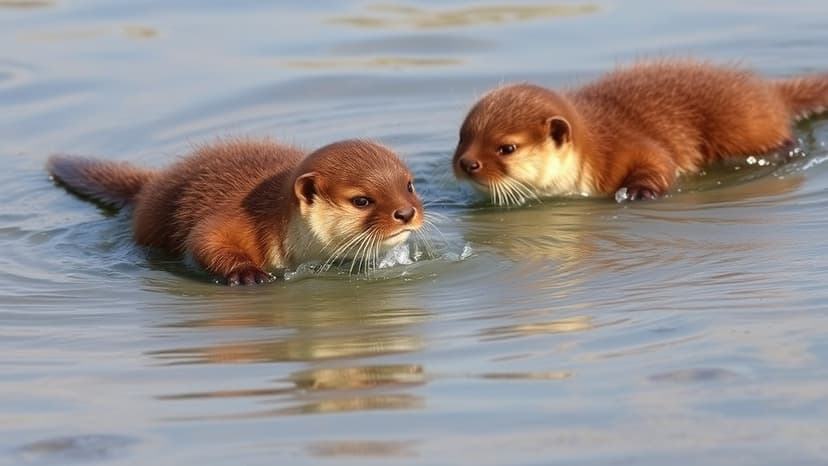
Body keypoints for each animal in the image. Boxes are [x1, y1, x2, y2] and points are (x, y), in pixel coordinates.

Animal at [48, 139, 423, 285]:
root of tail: (150, 185)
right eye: (361, 200)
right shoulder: (242, 221)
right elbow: (205, 238)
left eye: (409, 185)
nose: (406, 213)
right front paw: (247, 274)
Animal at [453, 60, 828, 203]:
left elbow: (658, 160)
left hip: (743, 125)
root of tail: (769, 93)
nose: (467, 163)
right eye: (463, 136)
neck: (594, 152)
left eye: (506, 148)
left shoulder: (622, 147)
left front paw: (638, 192)